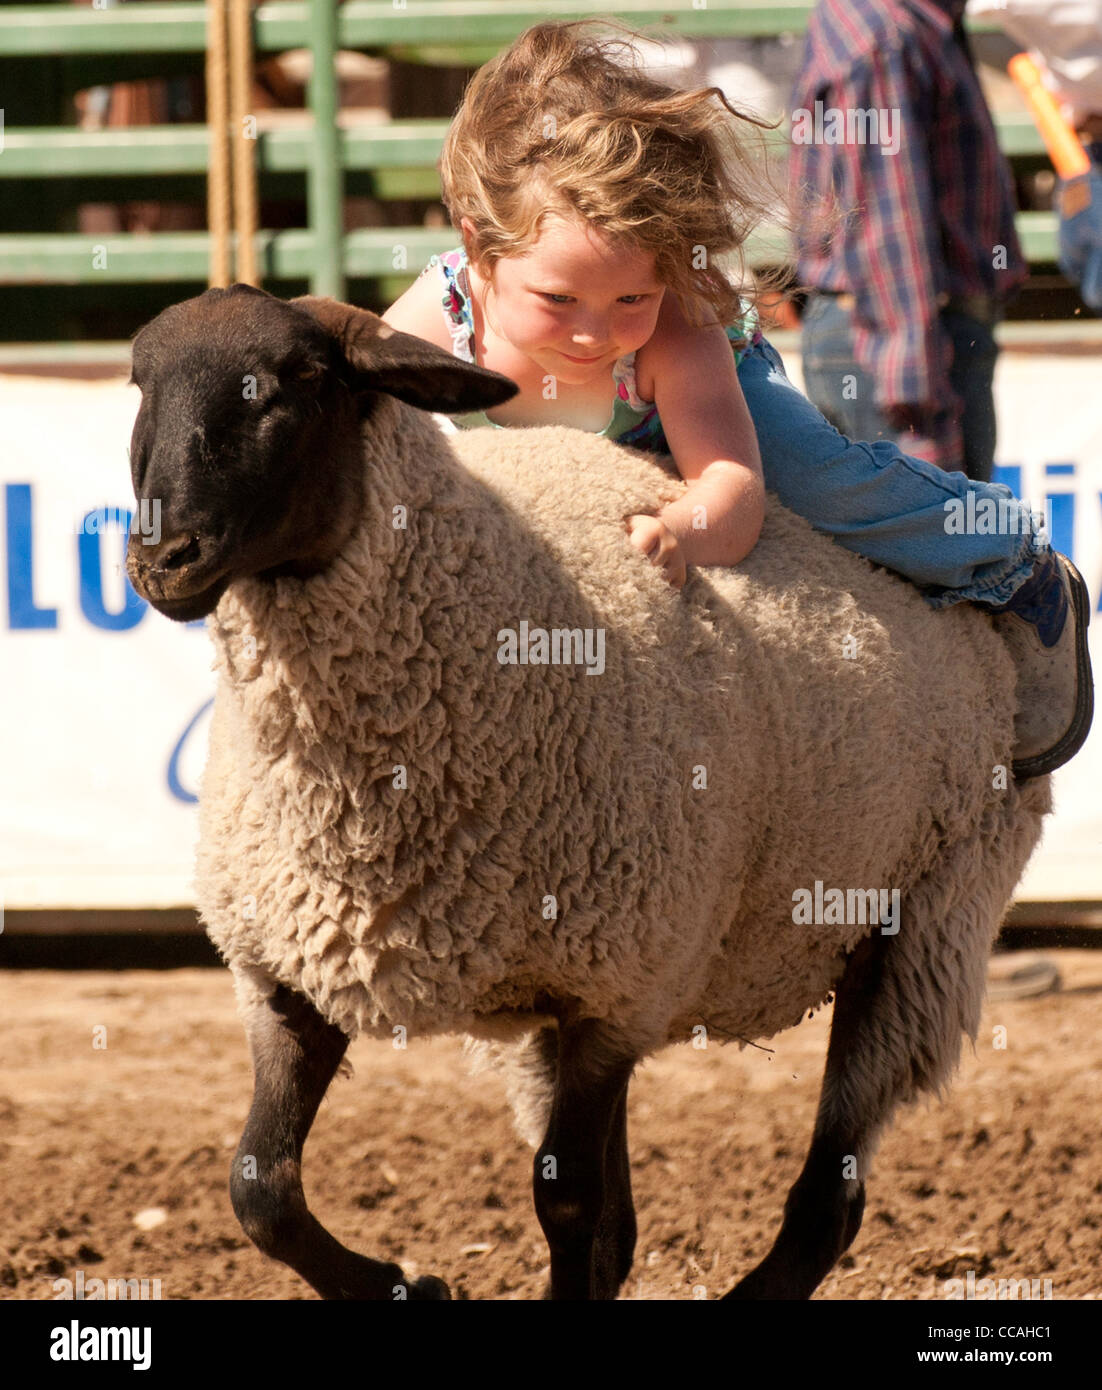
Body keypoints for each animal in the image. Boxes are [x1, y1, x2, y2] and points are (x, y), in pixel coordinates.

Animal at [125, 283, 1052, 1301]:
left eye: (294, 380)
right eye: (138, 381)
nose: (161, 560)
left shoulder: (618, 986)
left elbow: (566, 1203)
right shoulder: (288, 971)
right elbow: (261, 1189)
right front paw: (407, 1286)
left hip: (924, 920)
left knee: (826, 1201)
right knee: (634, 1223)